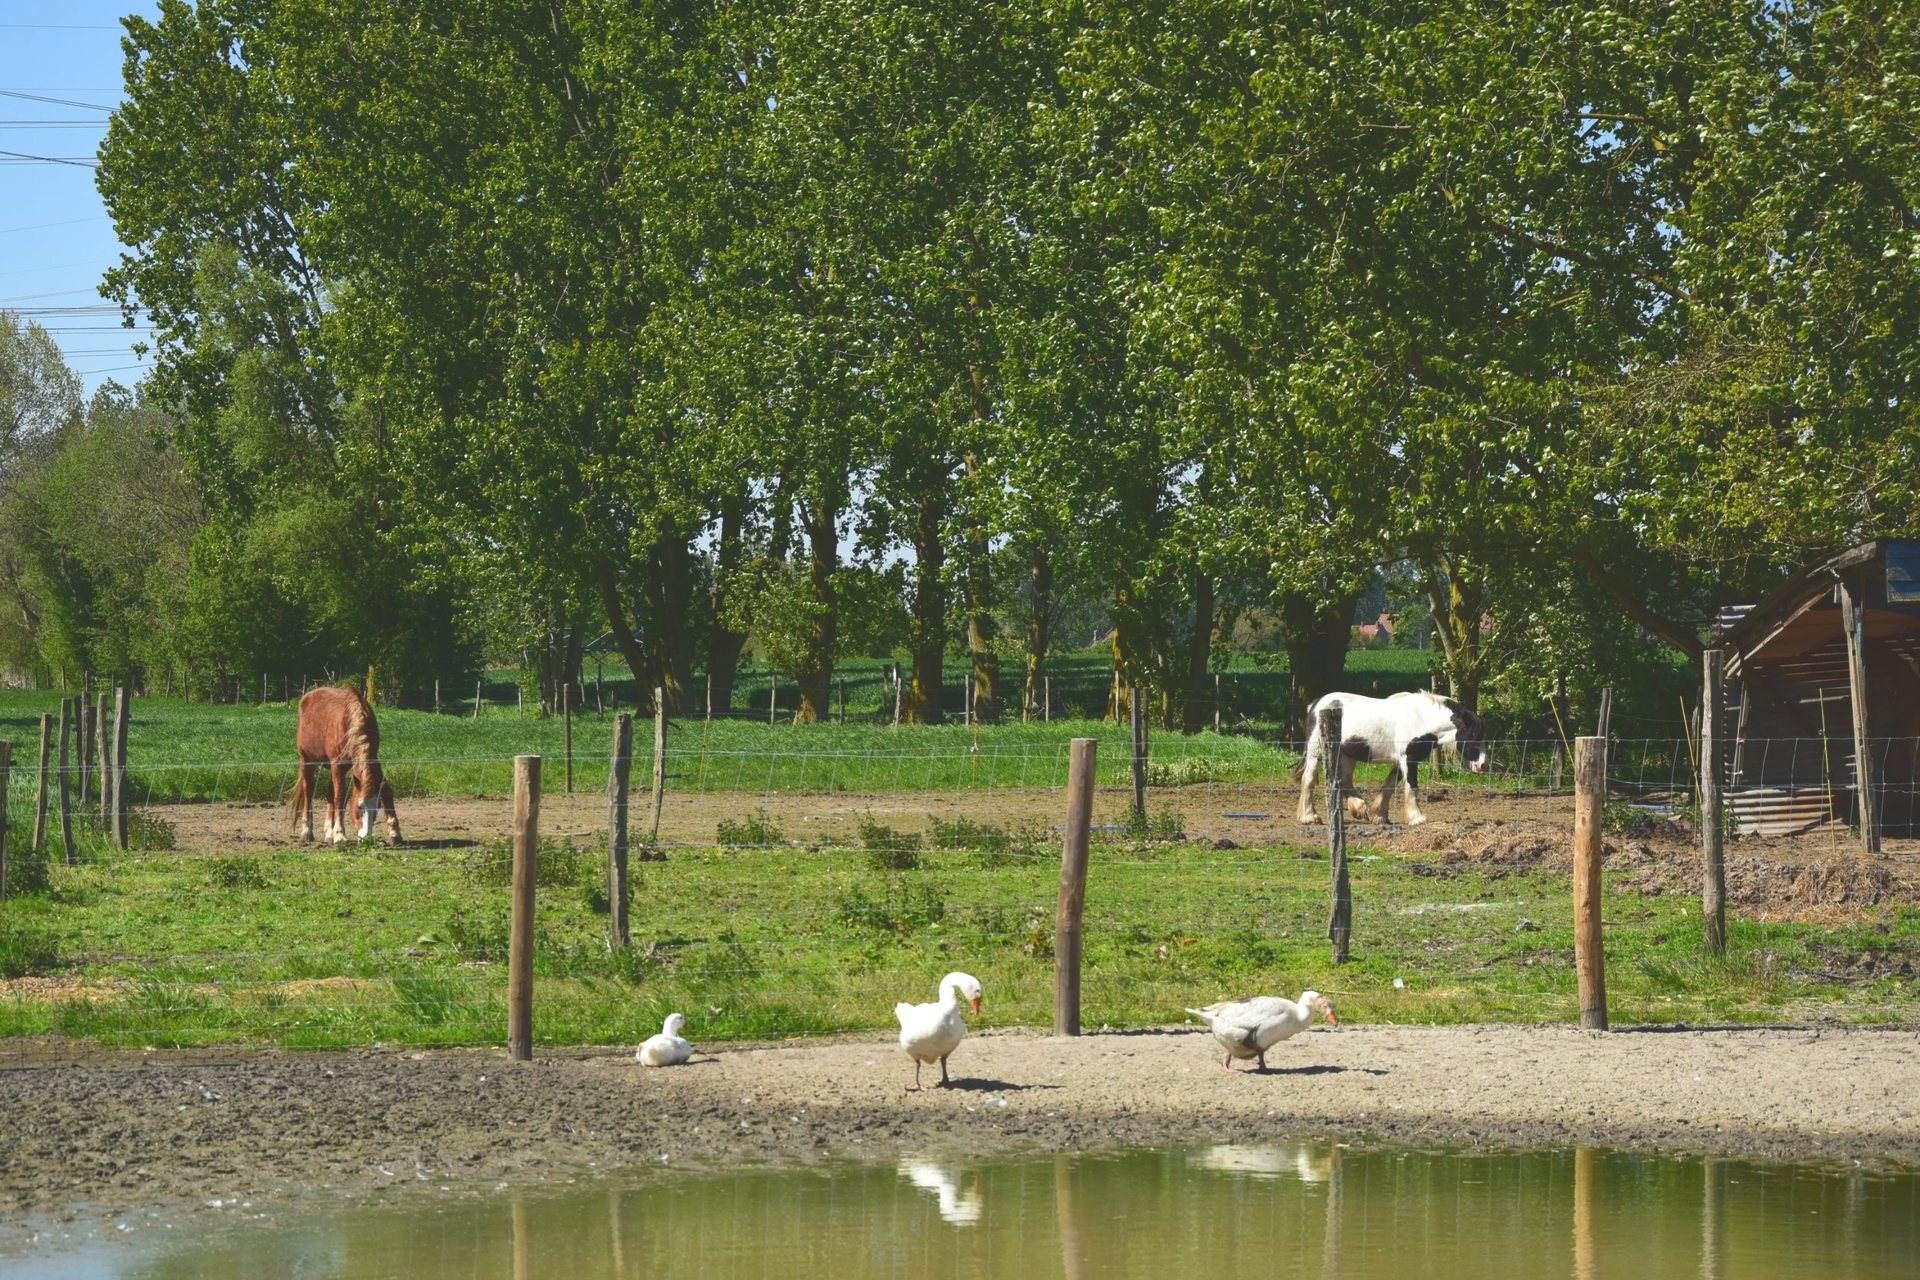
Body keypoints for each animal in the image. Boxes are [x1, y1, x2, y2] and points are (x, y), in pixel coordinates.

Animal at [292, 685, 401, 844]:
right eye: (359, 807)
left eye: (377, 807)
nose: (366, 837)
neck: (351, 723)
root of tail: (307, 696)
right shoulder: (337, 764)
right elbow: (340, 797)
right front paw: (339, 834)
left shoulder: (372, 759)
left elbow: (386, 789)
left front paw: (394, 832)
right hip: (307, 759)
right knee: (309, 792)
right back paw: (307, 831)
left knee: (329, 793)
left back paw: (328, 832)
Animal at [1294, 690, 1488, 826]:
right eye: (1473, 736)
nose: (1482, 765)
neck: (1422, 719)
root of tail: (1315, 705)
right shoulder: (1408, 758)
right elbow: (1412, 787)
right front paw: (1417, 818)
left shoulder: (1403, 760)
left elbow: (1389, 786)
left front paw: (1378, 816)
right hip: (1316, 750)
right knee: (1309, 778)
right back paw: (1309, 817)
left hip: (1346, 755)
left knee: (1343, 780)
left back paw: (1359, 808)